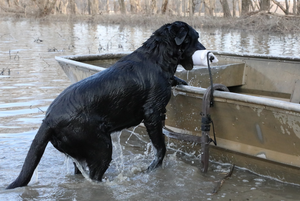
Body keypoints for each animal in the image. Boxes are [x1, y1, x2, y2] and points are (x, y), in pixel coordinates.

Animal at [6, 20, 204, 188]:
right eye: (196, 37)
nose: (207, 52)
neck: (157, 57)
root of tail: (48, 120)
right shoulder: (152, 113)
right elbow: (160, 148)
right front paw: (153, 168)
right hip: (101, 147)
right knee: (95, 176)